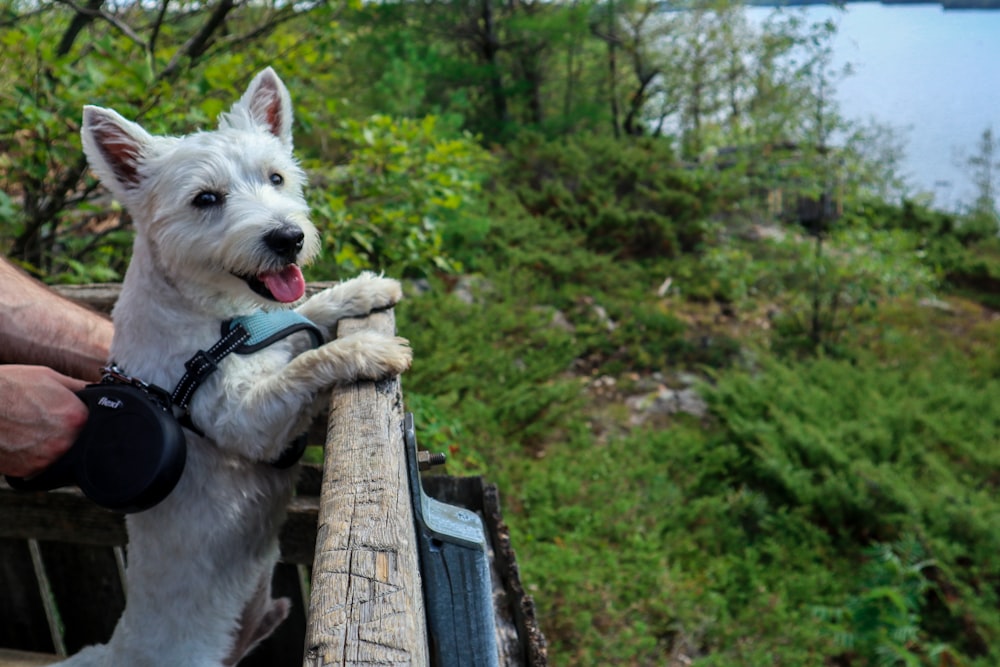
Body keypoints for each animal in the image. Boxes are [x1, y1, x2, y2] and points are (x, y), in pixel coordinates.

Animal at [60, 68, 412, 667]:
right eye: (205, 198)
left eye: (276, 177)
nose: (288, 237)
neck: (218, 319)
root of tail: (116, 650)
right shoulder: (245, 421)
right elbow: (308, 363)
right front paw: (366, 351)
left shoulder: (272, 330)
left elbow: (309, 311)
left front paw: (363, 290)